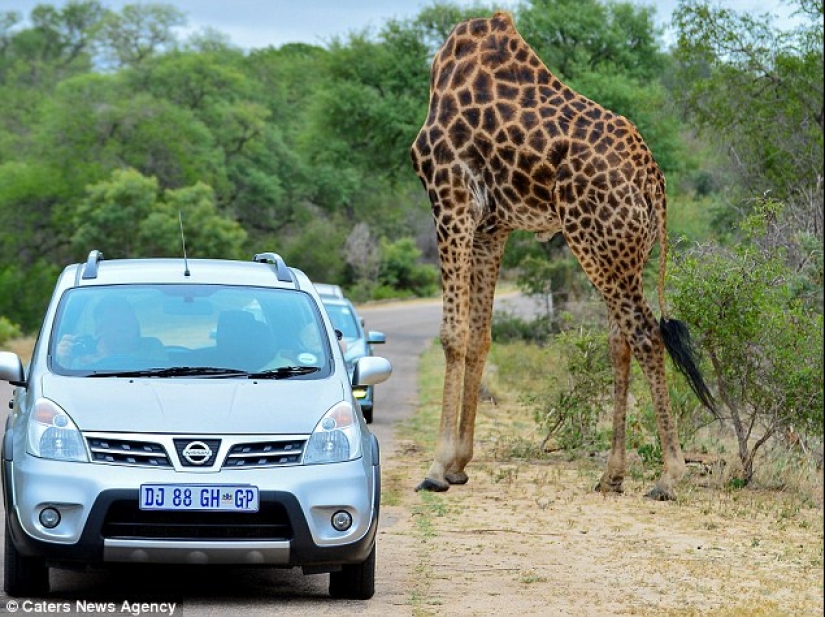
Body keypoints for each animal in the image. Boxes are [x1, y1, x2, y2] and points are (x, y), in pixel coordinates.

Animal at [408, 10, 712, 500]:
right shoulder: (493, 224)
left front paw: (437, 468)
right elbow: (480, 336)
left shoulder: (449, 194)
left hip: (596, 242)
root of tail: (654, 181)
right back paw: (612, 474)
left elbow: (453, 334)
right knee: (620, 341)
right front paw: (458, 464)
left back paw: (669, 475)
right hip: (624, 253)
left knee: (646, 335)